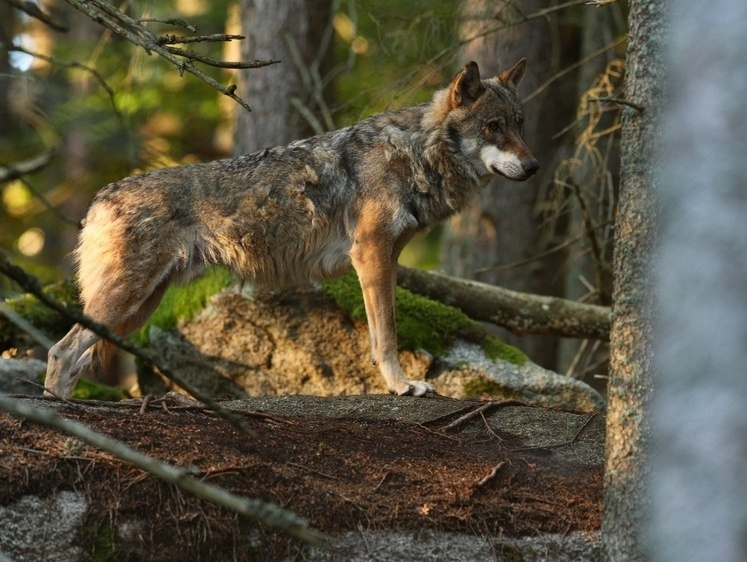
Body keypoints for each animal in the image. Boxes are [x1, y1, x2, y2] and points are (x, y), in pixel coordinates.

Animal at [45, 60, 536, 398]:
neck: (415, 152)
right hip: (126, 302)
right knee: (61, 351)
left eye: (520, 124)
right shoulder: (371, 256)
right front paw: (401, 386)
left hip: (137, 311)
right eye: (493, 127)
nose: (534, 167)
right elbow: (387, 337)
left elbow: (380, 333)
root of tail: (99, 198)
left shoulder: (384, 260)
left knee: (74, 355)